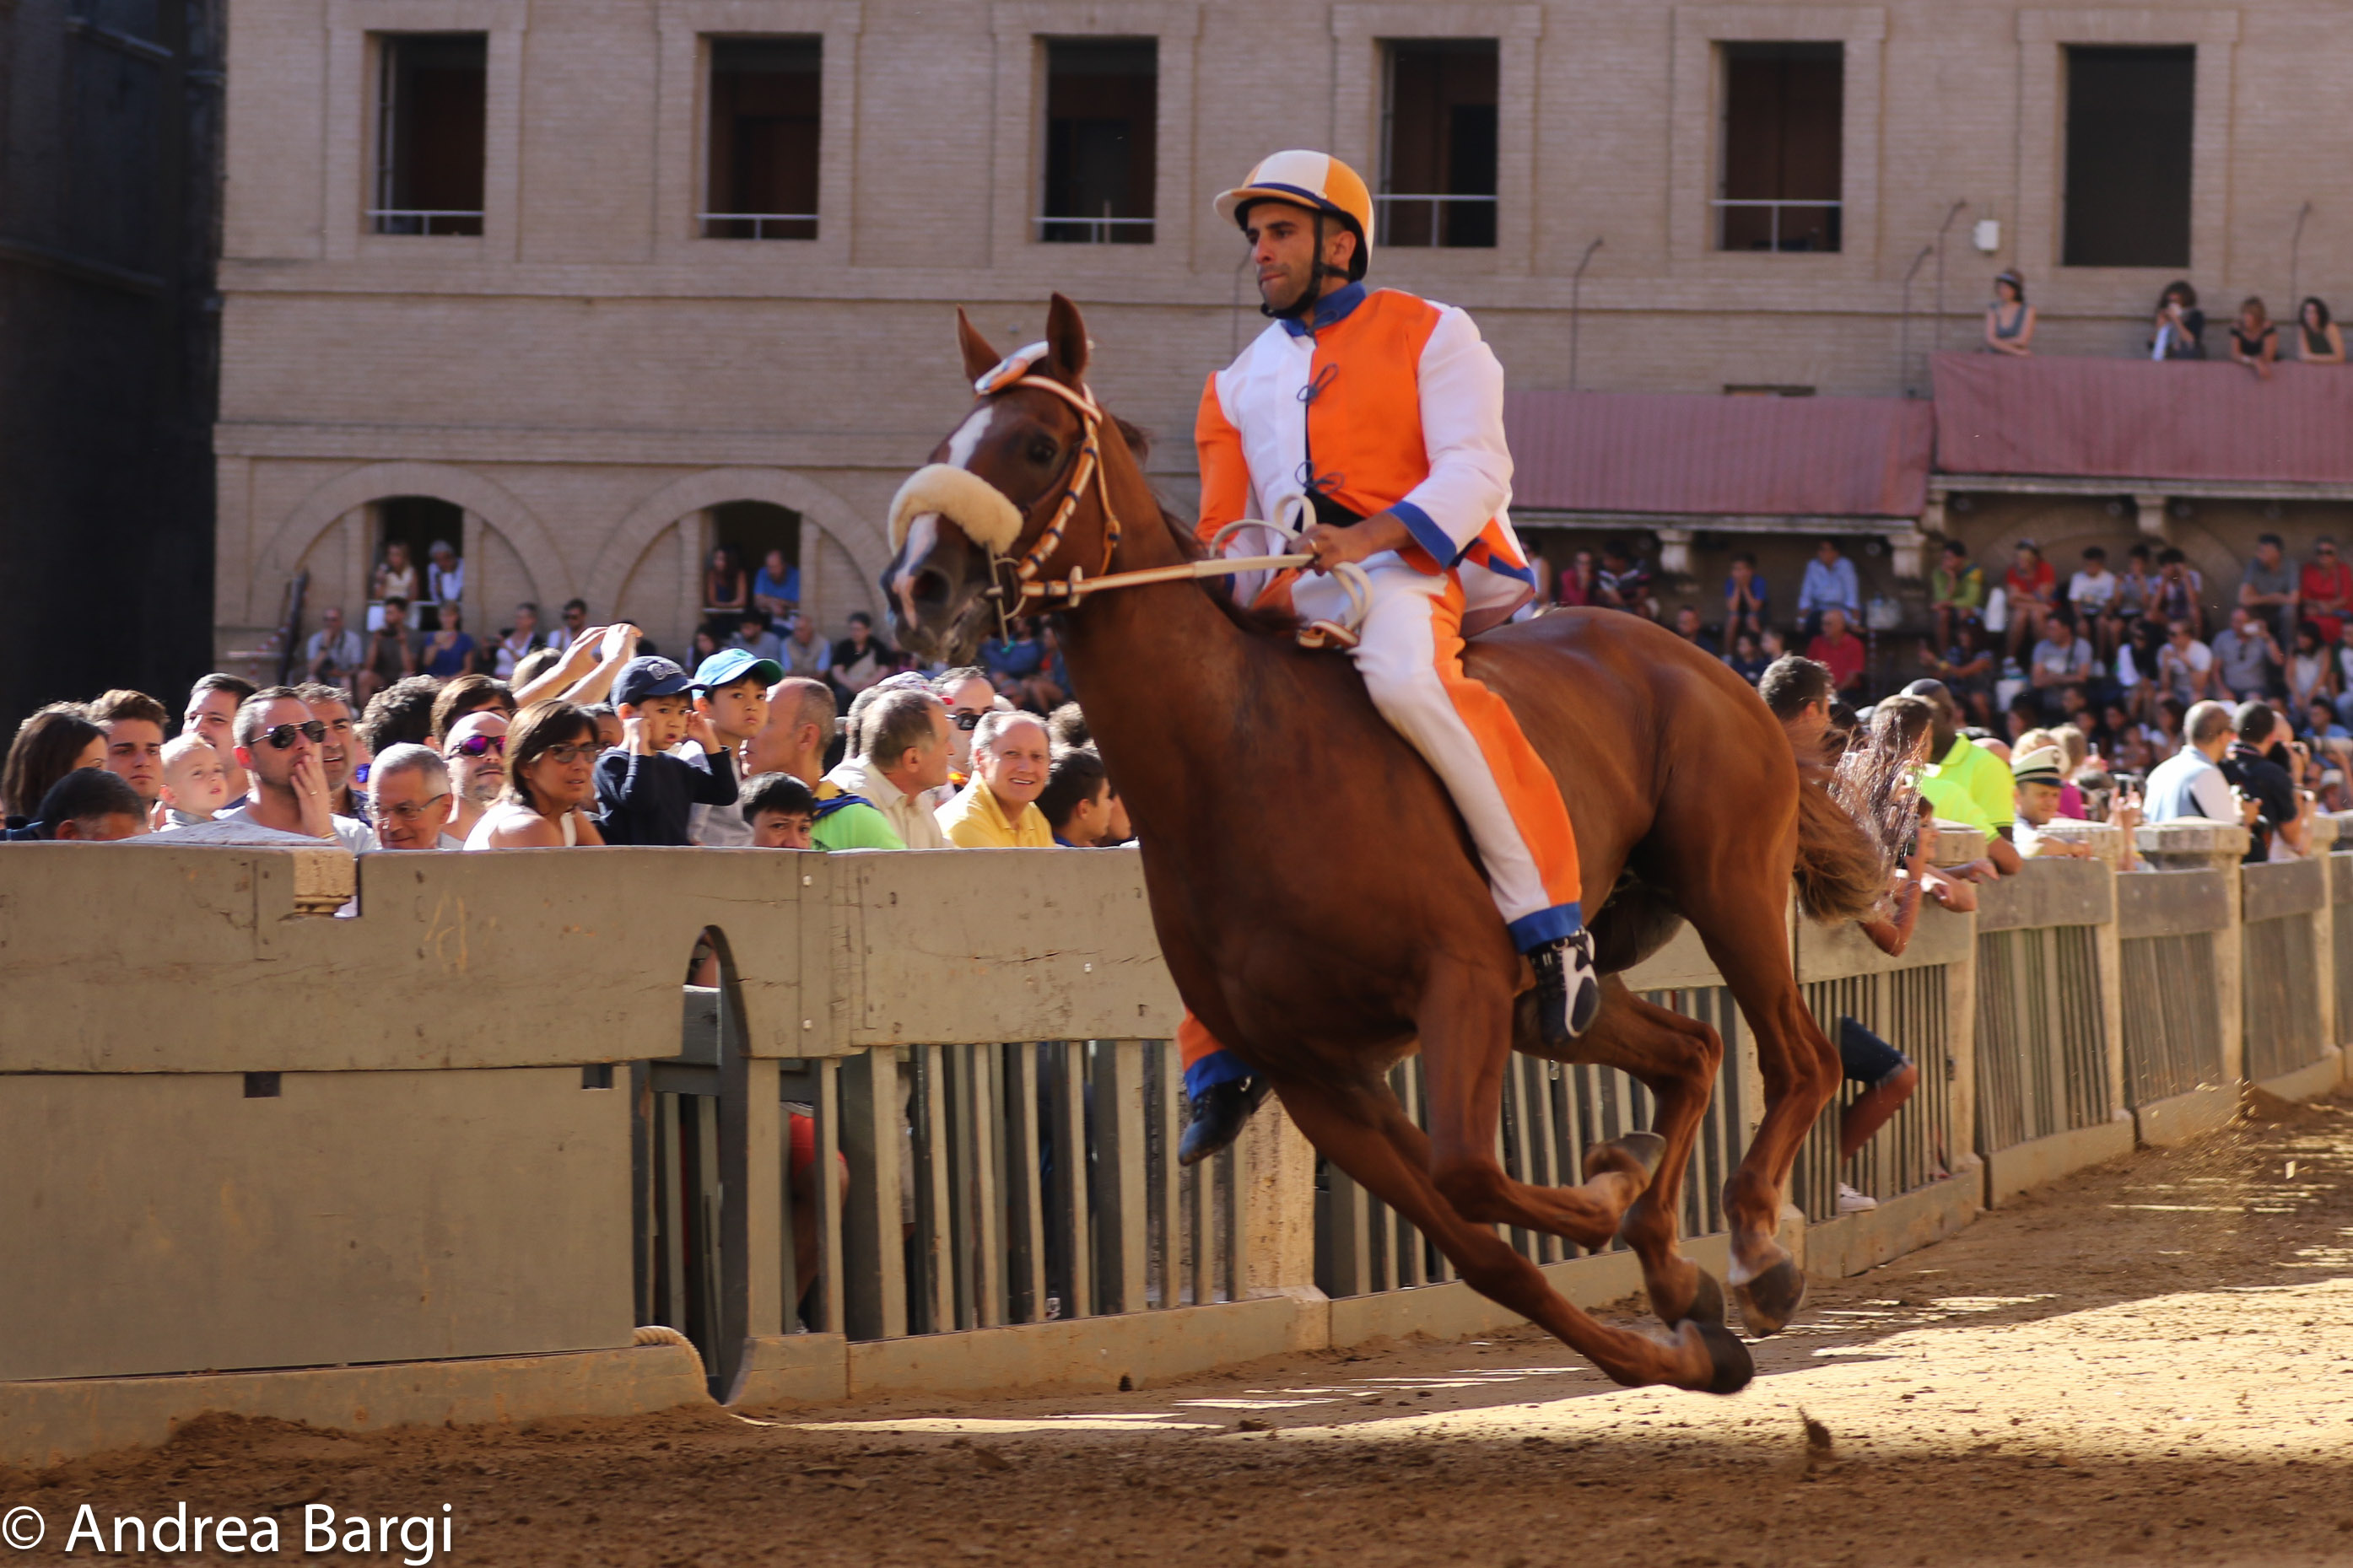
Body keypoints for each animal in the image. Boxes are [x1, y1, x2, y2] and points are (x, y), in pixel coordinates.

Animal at [884, 297, 1892, 1401]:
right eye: (942, 446)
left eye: (1036, 443)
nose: (919, 585)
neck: (1241, 761)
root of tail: (1705, 663)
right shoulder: (1317, 1074)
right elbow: (1482, 1247)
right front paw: (1676, 1321)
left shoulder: (1457, 981)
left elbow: (1471, 1173)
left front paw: (1614, 1190)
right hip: (1556, 1003)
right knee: (1692, 1051)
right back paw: (1678, 1257)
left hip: (1724, 885)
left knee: (1796, 1056)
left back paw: (1754, 1246)